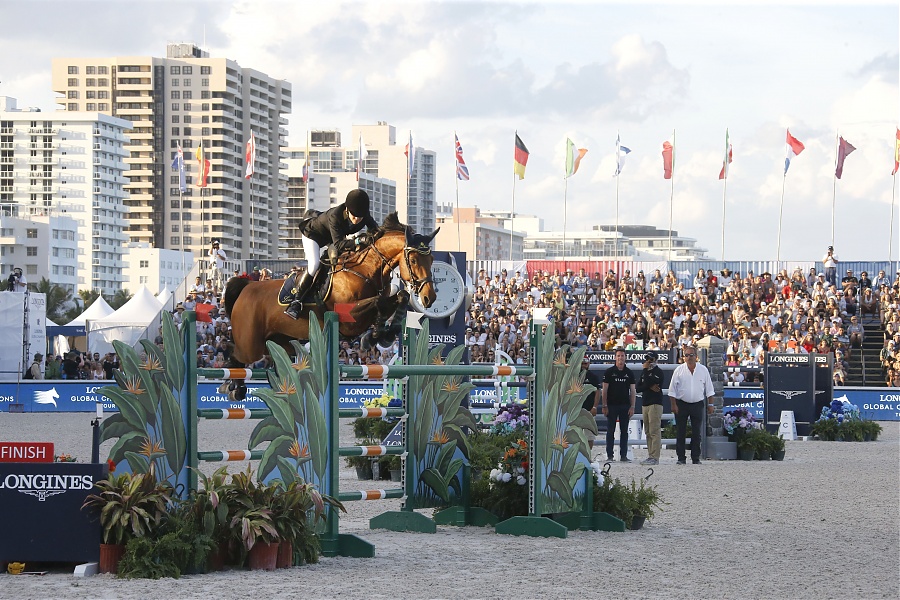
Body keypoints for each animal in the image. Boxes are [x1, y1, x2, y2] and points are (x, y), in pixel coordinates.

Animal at [219, 214, 438, 397]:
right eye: (414, 260)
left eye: (431, 259)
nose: (429, 297)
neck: (365, 270)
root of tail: (247, 286)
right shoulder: (348, 321)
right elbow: (378, 302)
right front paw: (375, 335)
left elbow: (399, 296)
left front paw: (384, 333)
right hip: (251, 345)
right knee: (236, 355)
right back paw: (233, 387)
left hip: (281, 342)